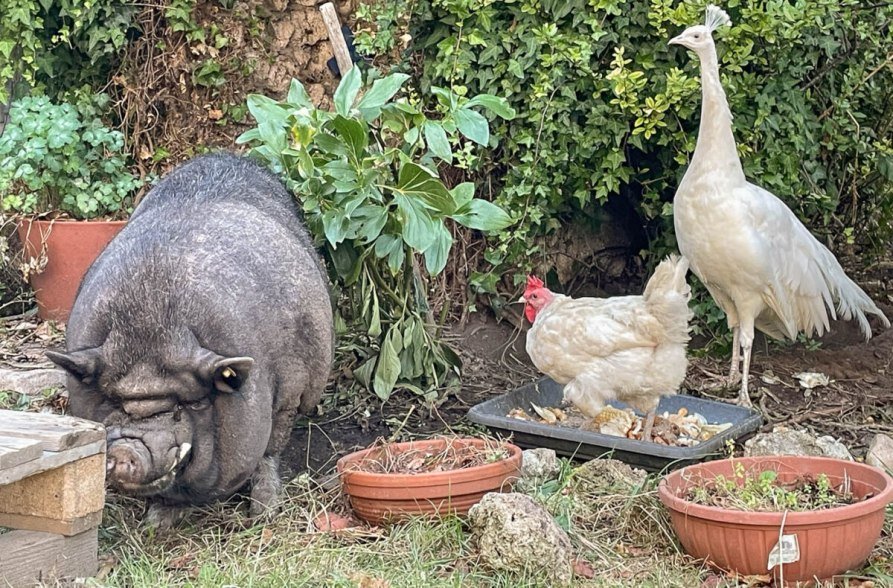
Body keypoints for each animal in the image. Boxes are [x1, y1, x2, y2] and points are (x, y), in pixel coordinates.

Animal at [47, 153, 333, 525]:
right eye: (113, 401)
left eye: (186, 406)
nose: (126, 448)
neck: (151, 325)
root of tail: (225, 155)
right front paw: (157, 523)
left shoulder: (293, 389)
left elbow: (270, 450)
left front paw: (263, 513)